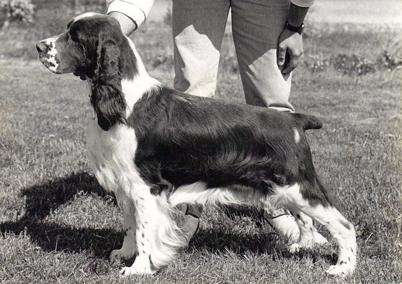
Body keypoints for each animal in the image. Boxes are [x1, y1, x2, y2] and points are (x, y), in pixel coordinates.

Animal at [36, 13, 356, 278]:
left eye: (75, 37)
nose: (39, 46)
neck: (125, 101)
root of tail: (295, 121)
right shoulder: (124, 184)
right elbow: (130, 225)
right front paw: (124, 254)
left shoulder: (146, 186)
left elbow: (143, 231)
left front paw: (138, 268)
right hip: (284, 188)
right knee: (307, 220)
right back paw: (303, 246)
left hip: (297, 185)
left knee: (344, 225)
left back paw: (343, 268)